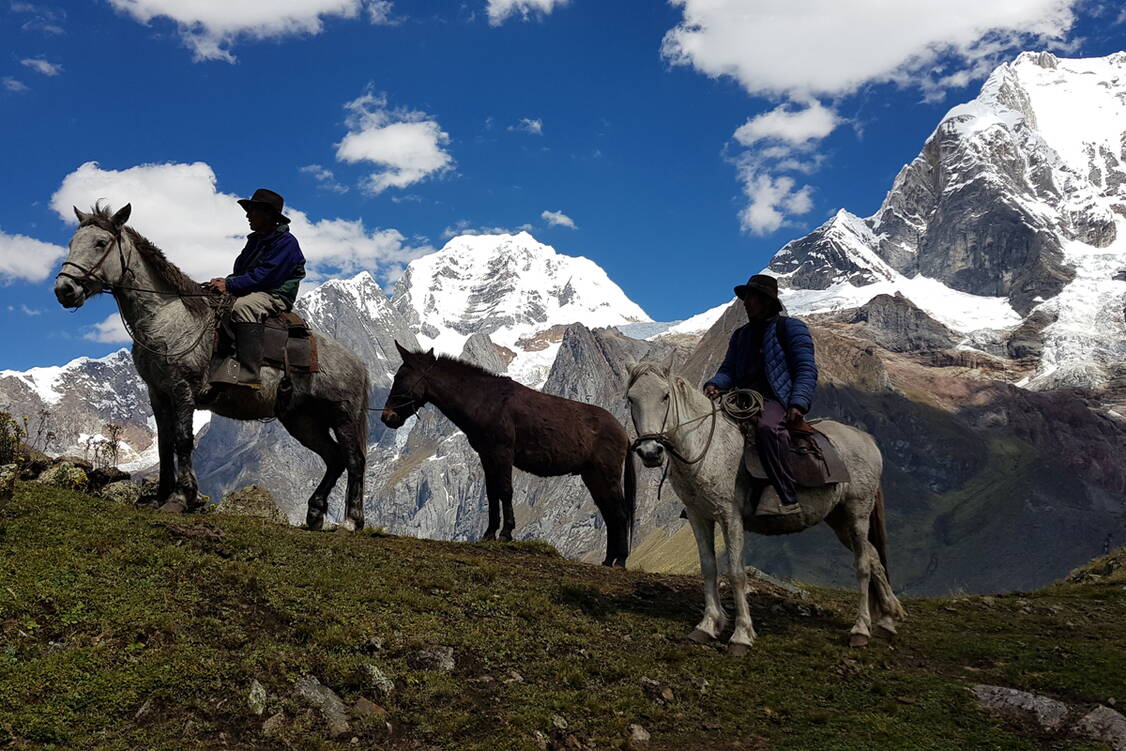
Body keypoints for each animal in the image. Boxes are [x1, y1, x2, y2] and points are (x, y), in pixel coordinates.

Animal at [53, 201, 369, 529]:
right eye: (72, 242)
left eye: (101, 243)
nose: (65, 289)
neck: (168, 318)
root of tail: (357, 363)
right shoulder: (158, 393)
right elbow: (165, 444)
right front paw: (160, 496)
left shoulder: (182, 390)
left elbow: (182, 441)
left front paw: (181, 498)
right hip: (302, 420)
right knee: (334, 458)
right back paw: (315, 513)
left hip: (342, 416)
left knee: (354, 460)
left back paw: (351, 521)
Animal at [626, 362, 905, 653]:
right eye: (631, 398)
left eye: (665, 396)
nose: (650, 452)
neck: (707, 448)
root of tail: (866, 439)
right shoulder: (698, 516)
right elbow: (709, 567)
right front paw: (708, 625)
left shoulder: (730, 517)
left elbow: (736, 573)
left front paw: (741, 635)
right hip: (840, 521)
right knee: (874, 558)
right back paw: (887, 620)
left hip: (857, 513)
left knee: (863, 564)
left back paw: (861, 629)